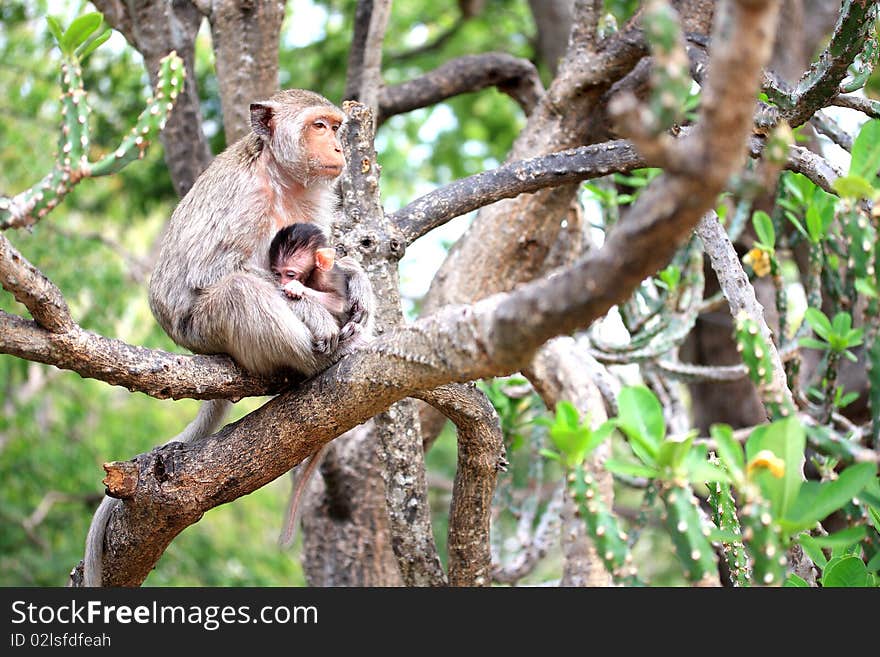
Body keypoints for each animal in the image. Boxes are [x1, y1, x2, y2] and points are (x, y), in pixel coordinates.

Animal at [86, 89, 378, 588]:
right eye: (319, 126)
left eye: (336, 127)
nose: (339, 148)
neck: (280, 177)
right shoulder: (245, 200)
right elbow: (218, 272)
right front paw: (311, 310)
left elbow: (329, 259)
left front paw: (355, 280)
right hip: (204, 328)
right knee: (238, 291)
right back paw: (323, 359)